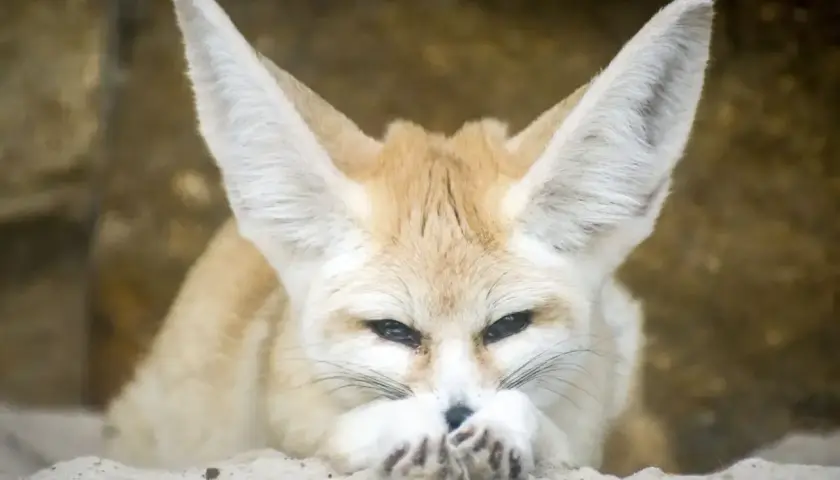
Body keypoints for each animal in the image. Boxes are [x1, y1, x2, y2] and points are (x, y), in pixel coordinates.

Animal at [102, 0, 713, 478]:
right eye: (394, 330)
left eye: (508, 325)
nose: (457, 417)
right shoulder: (278, 427)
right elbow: (337, 432)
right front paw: (399, 427)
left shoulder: (584, 433)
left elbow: (550, 431)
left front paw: (507, 427)